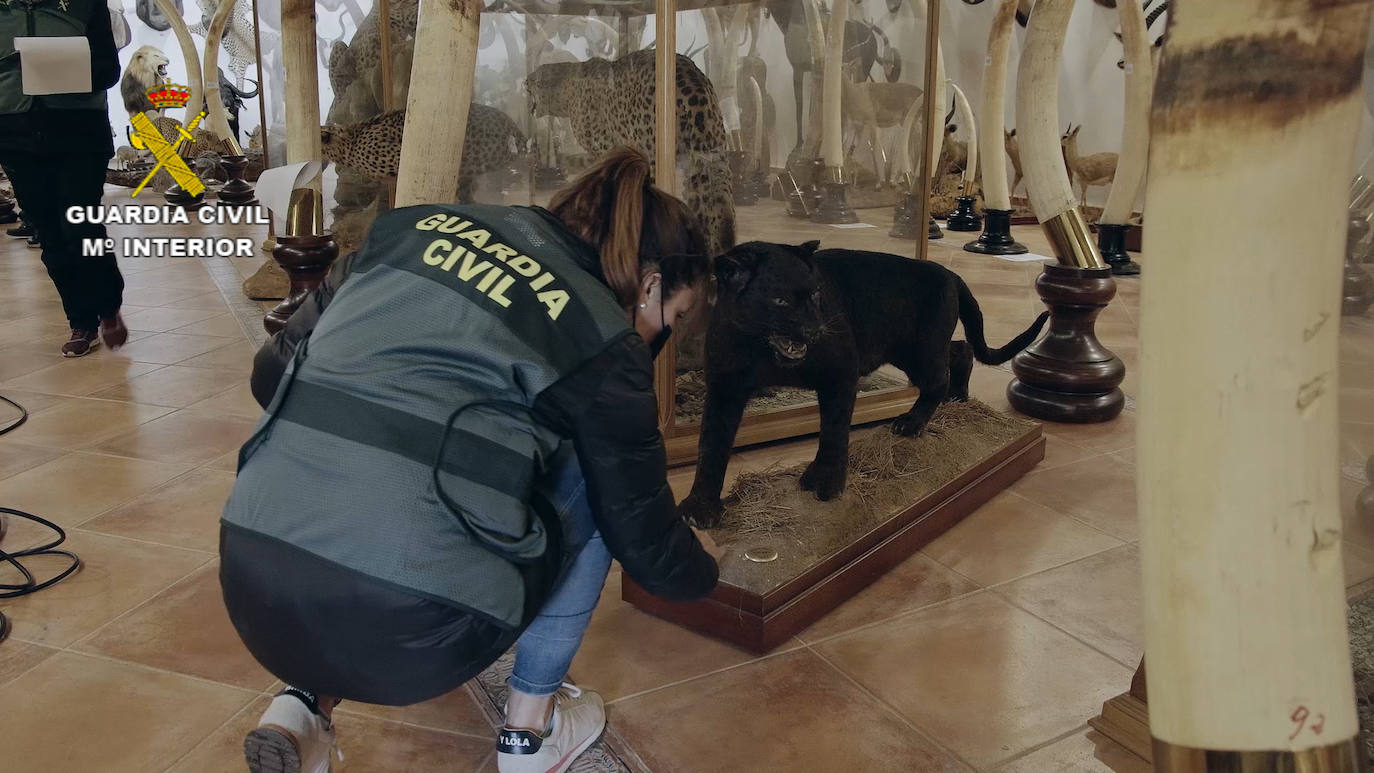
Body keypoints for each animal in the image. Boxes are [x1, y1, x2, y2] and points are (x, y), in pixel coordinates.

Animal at [527, 49, 741, 258]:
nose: (525, 82)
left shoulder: (604, 149)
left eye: (532, 83)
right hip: (708, 159)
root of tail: (691, 78)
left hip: (655, 159)